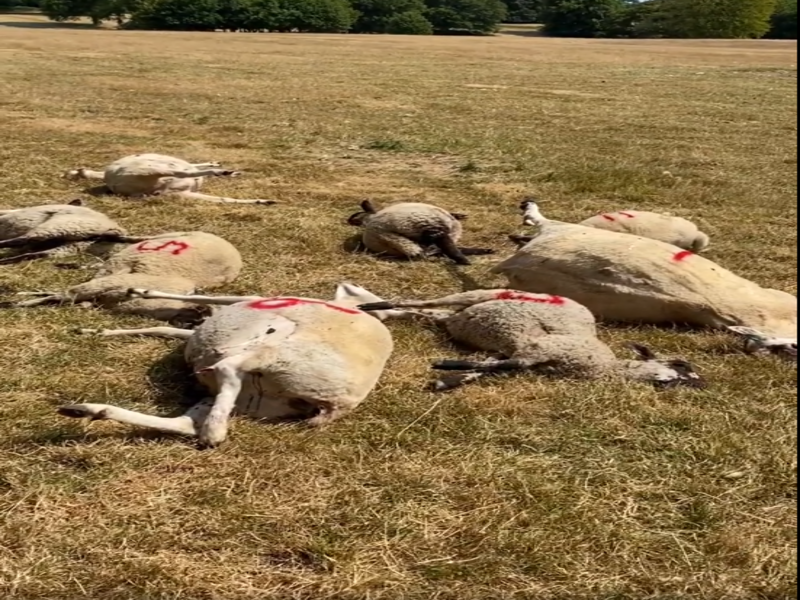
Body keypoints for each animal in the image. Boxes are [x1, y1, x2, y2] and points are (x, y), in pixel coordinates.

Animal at [58, 283, 395, 447]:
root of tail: (336, 405)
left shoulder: (250, 299)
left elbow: (220, 298)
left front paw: (140, 292)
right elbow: (165, 329)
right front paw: (96, 332)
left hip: (278, 356)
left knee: (227, 370)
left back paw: (213, 433)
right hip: (256, 396)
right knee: (186, 422)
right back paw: (87, 410)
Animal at [357, 288, 707, 391]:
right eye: (680, 366)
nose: (701, 385)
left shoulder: (520, 356)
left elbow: (487, 369)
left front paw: (447, 381)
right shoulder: (536, 350)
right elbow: (498, 367)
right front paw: (444, 366)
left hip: (456, 315)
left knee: (422, 311)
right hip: (477, 294)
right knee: (418, 301)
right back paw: (370, 307)